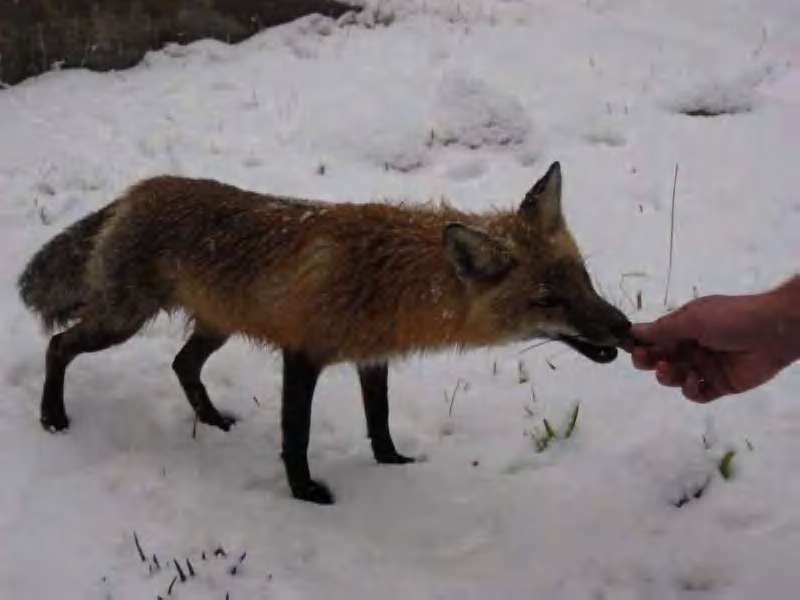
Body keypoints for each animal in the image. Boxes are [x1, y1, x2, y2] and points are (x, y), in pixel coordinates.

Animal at [18, 161, 630, 504]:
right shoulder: (303, 354)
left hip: (215, 327)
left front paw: (391, 464)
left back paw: (212, 420)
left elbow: (379, 420)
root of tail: (138, 190)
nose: (623, 329)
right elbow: (297, 435)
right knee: (59, 345)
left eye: (583, 279)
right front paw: (304, 492)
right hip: (121, 320)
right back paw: (52, 417)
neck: (395, 278)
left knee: (181, 364)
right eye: (547, 301)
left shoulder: (372, 357)